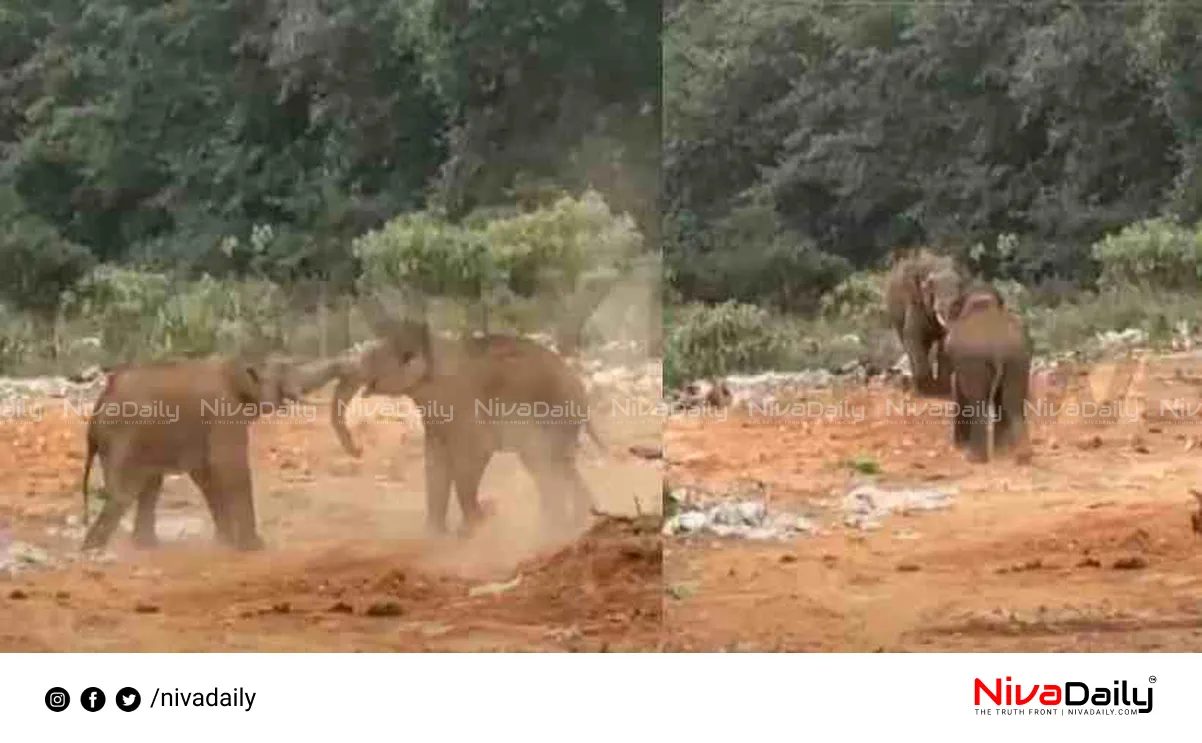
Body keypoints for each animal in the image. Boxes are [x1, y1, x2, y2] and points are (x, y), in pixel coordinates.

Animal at [79, 353, 319, 550]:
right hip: (124, 435)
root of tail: (99, 405)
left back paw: (141, 545)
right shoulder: (223, 412)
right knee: (126, 490)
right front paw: (253, 547)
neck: (237, 363)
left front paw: (224, 542)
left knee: (149, 484)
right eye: (284, 372)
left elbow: (205, 474)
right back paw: (93, 546)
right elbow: (229, 466)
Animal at [329, 306, 605, 538]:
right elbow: (435, 462)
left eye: (372, 359)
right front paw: (434, 536)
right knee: (553, 466)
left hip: (555, 414)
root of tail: (580, 386)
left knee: (548, 465)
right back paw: (571, 523)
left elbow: (472, 455)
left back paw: (554, 529)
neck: (432, 345)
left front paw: (472, 530)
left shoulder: (462, 401)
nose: (358, 450)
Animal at [942, 286, 1028, 459]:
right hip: (1017, 359)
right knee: (1012, 402)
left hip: (975, 362)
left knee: (978, 403)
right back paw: (1020, 453)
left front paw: (959, 446)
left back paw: (974, 458)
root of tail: (997, 347)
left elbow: (959, 391)